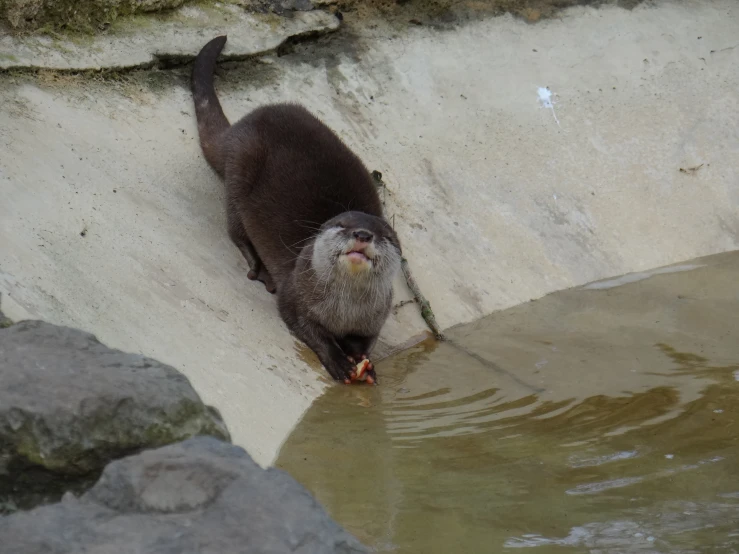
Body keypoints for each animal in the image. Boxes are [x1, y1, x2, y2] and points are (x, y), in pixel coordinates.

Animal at [191, 34, 398, 382]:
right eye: (342, 225)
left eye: (384, 235)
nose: (362, 235)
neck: (342, 313)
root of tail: (238, 129)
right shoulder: (295, 294)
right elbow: (305, 326)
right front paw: (339, 361)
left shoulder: (374, 320)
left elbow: (365, 342)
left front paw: (363, 361)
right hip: (241, 167)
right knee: (235, 228)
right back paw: (258, 267)